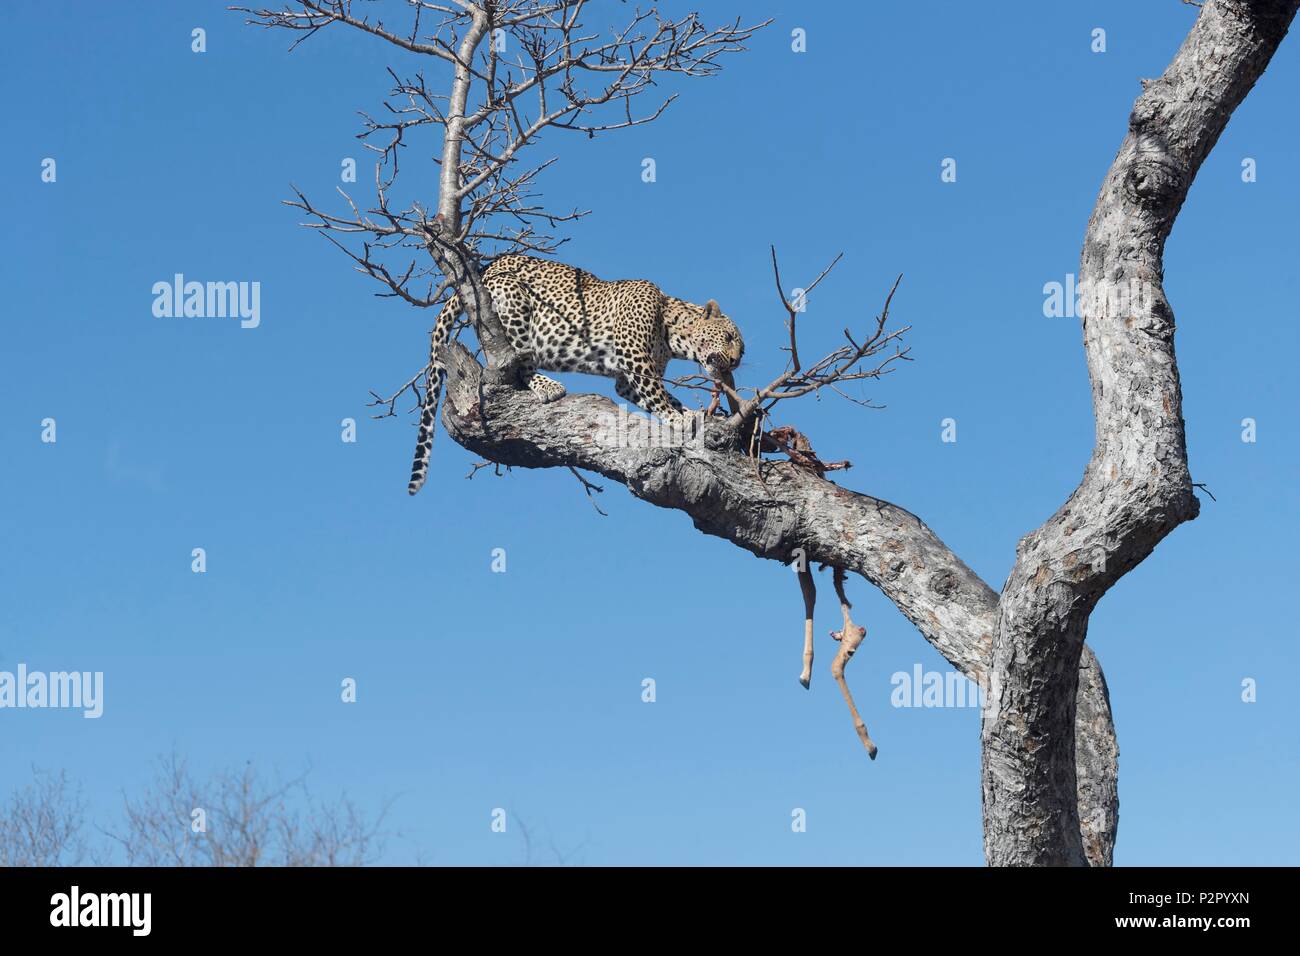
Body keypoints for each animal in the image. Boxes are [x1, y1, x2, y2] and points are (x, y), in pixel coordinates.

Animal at [410, 254, 748, 494]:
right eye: (729, 337)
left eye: (741, 351)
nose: (735, 362)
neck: (673, 330)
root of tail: (486, 270)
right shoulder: (635, 359)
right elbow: (658, 393)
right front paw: (676, 418)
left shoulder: (626, 380)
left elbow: (658, 394)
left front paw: (689, 412)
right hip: (513, 302)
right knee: (520, 364)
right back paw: (547, 385)